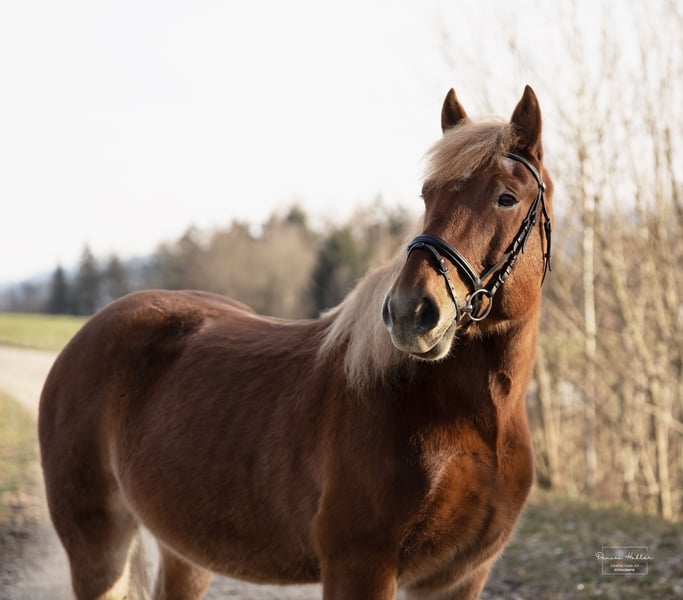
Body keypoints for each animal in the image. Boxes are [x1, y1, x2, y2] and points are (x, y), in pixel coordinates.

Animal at [39, 85, 553, 600]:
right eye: (428, 194)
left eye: (506, 197)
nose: (410, 312)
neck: (469, 425)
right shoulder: (359, 569)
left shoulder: (460, 579)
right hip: (98, 548)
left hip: (184, 551)